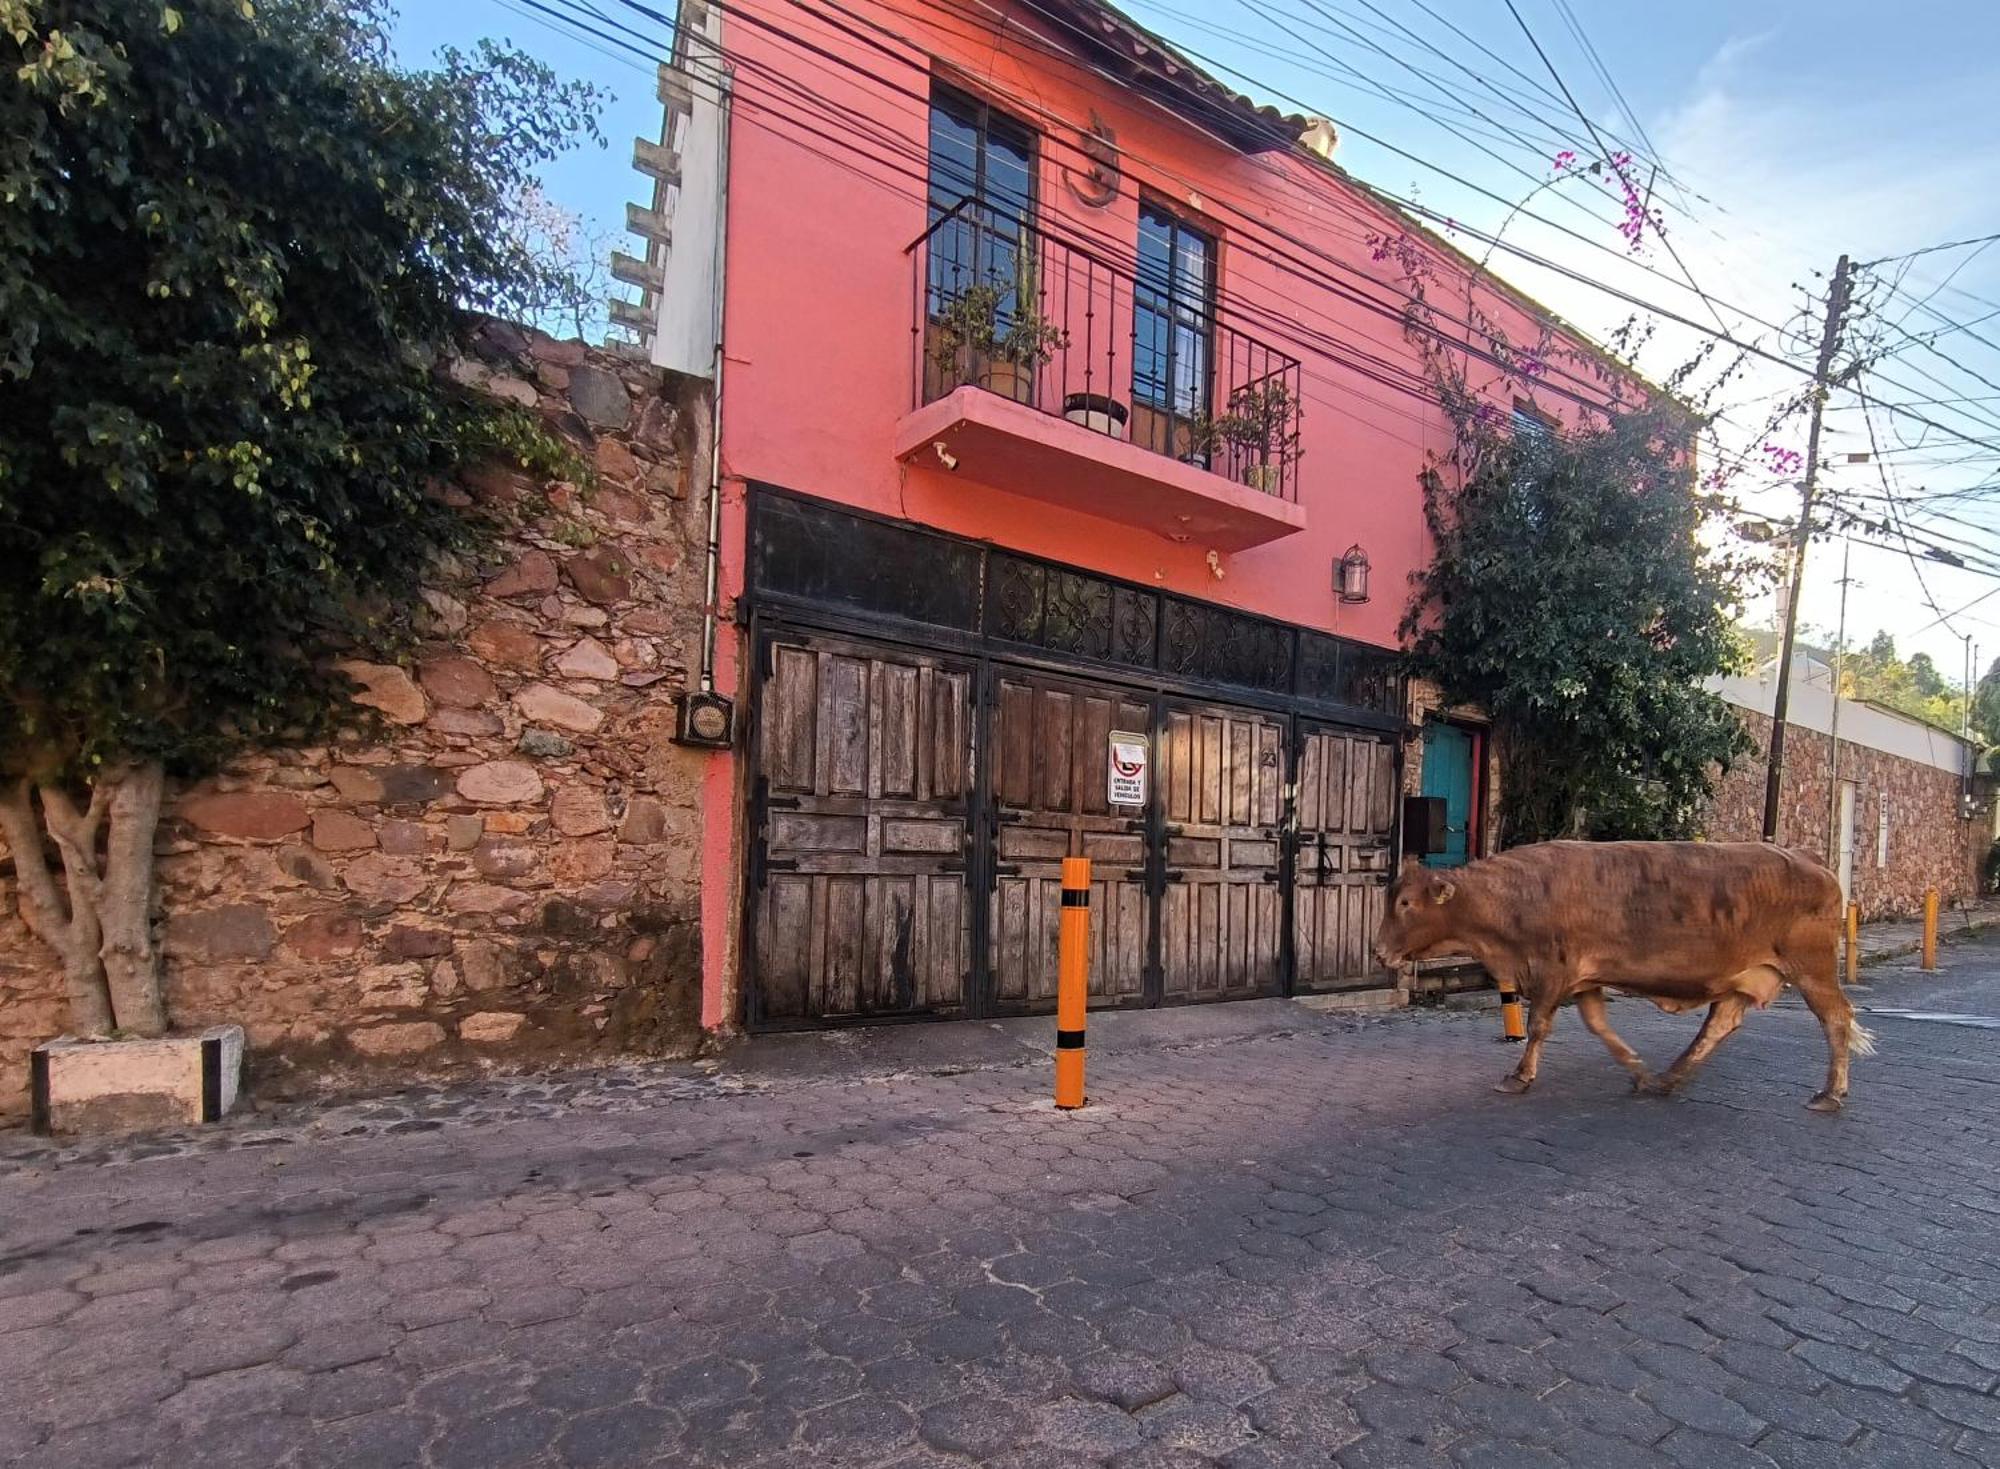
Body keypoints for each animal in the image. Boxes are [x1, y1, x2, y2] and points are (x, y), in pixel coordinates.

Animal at [1376, 844, 1872, 1112]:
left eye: (1405, 904)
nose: (1380, 950)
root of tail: (1806, 856)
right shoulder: (1585, 979)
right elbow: (1599, 1026)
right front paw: (1637, 1069)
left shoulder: (1553, 972)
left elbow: (1537, 1027)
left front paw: (1518, 1076)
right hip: (1744, 975)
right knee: (1719, 1024)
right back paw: (1668, 1078)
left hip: (1812, 968)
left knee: (1836, 1019)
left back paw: (1831, 1092)